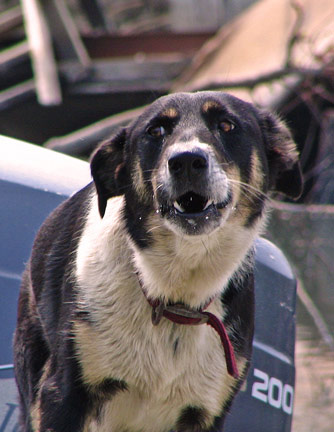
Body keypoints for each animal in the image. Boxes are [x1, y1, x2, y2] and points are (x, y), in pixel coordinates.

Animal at [13, 90, 302, 428]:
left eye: (227, 125)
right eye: (156, 131)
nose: (187, 161)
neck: (175, 298)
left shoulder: (205, 412)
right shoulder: (62, 396)